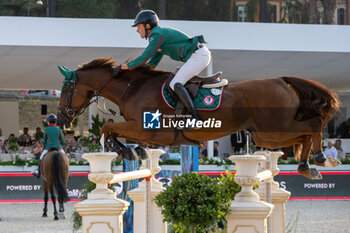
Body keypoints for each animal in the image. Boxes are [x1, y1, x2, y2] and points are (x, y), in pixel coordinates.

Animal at [56, 57, 340, 179]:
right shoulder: (143, 130)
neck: (132, 88)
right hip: (266, 135)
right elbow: (111, 129)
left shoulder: (147, 130)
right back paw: (306, 166)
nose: (60, 120)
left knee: (314, 125)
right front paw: (131, 151)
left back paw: (321, 157)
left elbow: (108, 128)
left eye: (67, 89)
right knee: (303, 136)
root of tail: (282, 80)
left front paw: (127, 151)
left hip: (273, 129)